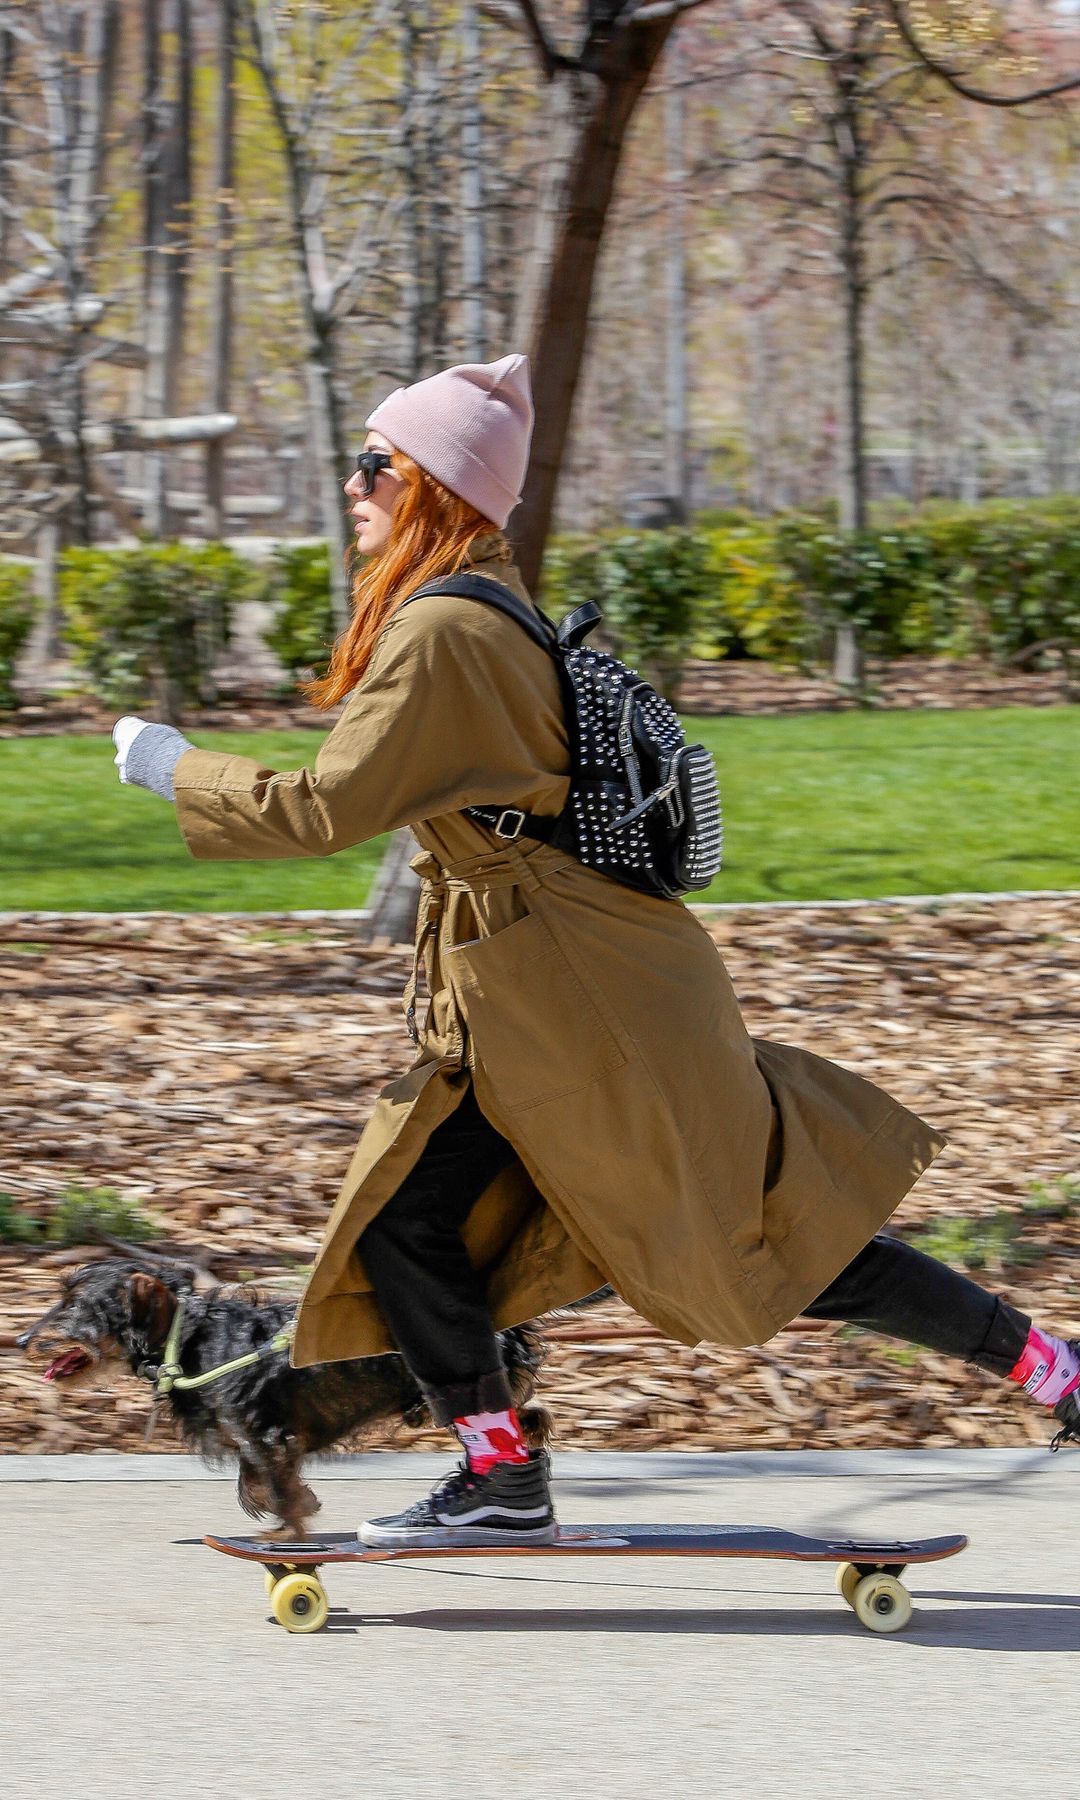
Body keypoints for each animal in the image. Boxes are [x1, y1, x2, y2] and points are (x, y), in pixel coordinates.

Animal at [16, 1260, 554, 1540]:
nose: (20, 1340)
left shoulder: (267, 1433)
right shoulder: (257, 1435)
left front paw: (286, 1533)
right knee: (527, 1412)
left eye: (75, 1306)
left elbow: (273, 1484)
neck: (188, 1340)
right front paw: (298, 1504)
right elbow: (255, 1477)